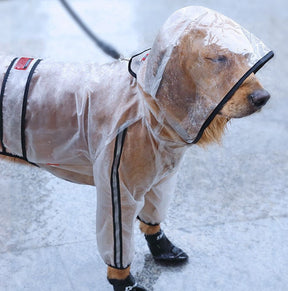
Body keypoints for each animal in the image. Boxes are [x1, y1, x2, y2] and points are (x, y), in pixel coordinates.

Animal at [0, 5, 272, 290]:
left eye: (246, 57)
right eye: (218, 58)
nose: (263, 98)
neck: (147, 106)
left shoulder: (161, 180)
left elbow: (153, 218)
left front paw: (162, 247)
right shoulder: (119, 188)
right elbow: (118, 243)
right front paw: (125, 281)